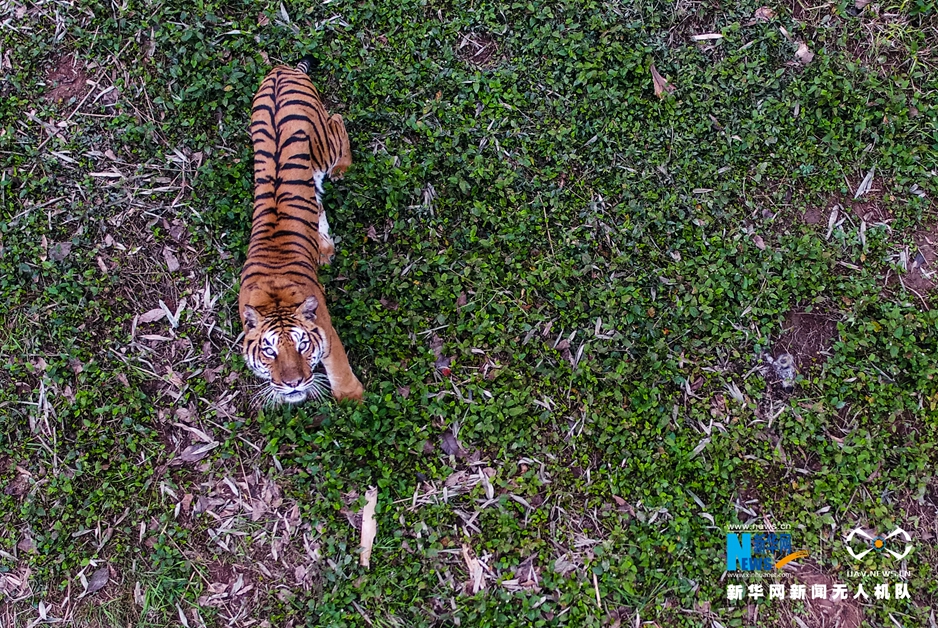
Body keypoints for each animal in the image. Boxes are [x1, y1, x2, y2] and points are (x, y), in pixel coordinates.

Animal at [236, 56, 364, 404]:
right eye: (269, 351)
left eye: (302, 345)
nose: (293, 383)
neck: (274, 301)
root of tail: (283, 70)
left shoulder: (326, 331)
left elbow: (339, 370)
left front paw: (354, 399)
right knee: (316, 199)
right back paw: (324, 248)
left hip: (324, 145)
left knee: (337, 119)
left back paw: (344, 168)